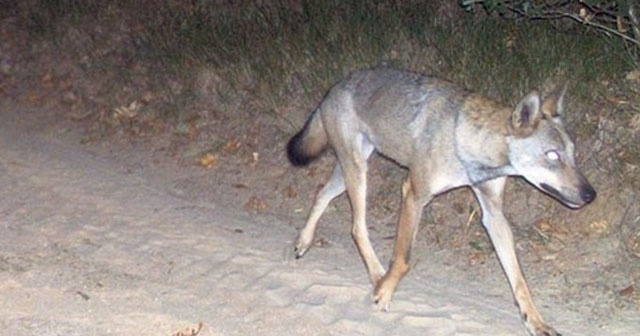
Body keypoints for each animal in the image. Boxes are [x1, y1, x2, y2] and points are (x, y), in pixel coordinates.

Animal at [284, 67, 596, 334]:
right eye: (552, 155)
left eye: (573, 154)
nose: (591, 195)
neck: (469, 143)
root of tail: (336, 85)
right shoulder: (413, 193)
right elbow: (403, 260)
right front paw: (384, 293)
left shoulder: (493, 214)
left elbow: (520, 280)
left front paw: (536, 322)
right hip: (358, 173)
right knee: (357, 228)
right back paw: (377, 276)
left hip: (350, 171)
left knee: (322, 193)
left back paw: (304, 240)